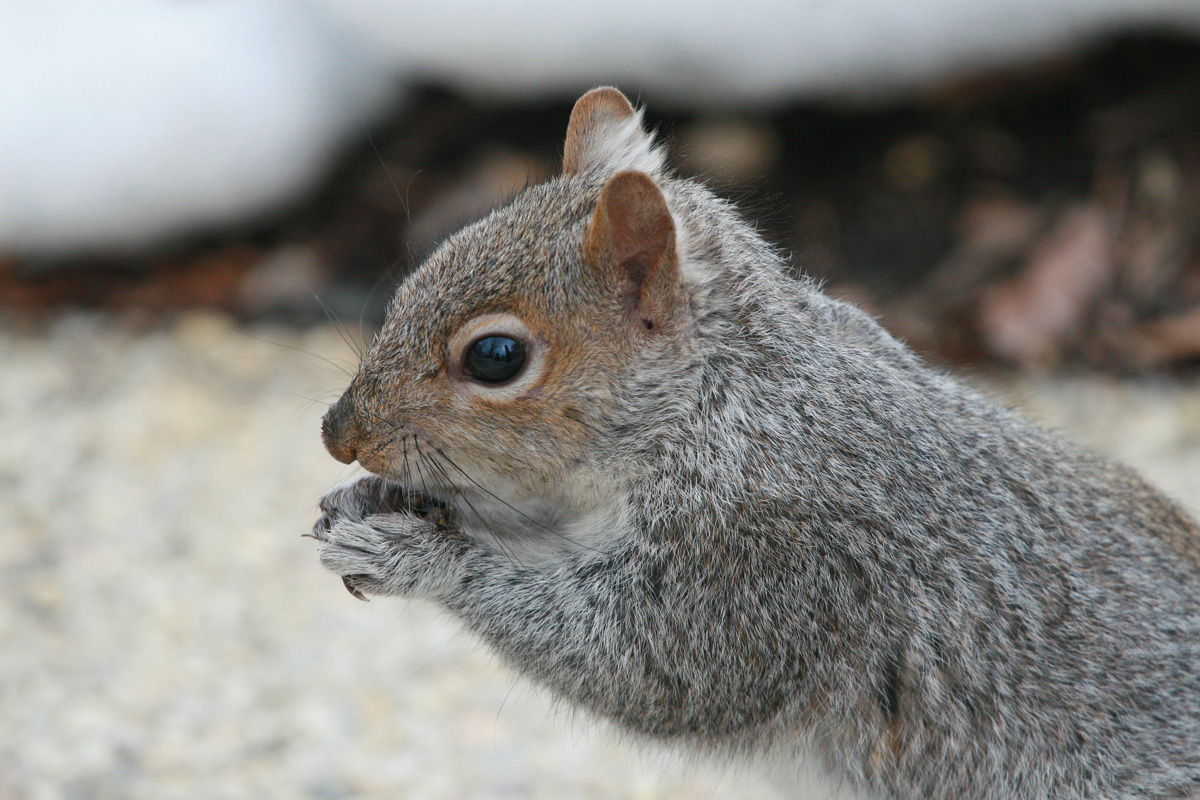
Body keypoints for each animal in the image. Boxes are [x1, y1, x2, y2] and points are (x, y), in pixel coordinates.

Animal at [313, 87, 1200, 799]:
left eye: (496, 357)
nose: (337, 434)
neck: (727, 403)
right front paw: (367, 501)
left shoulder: (774, 561)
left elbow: (645, 665)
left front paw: (418, 555)